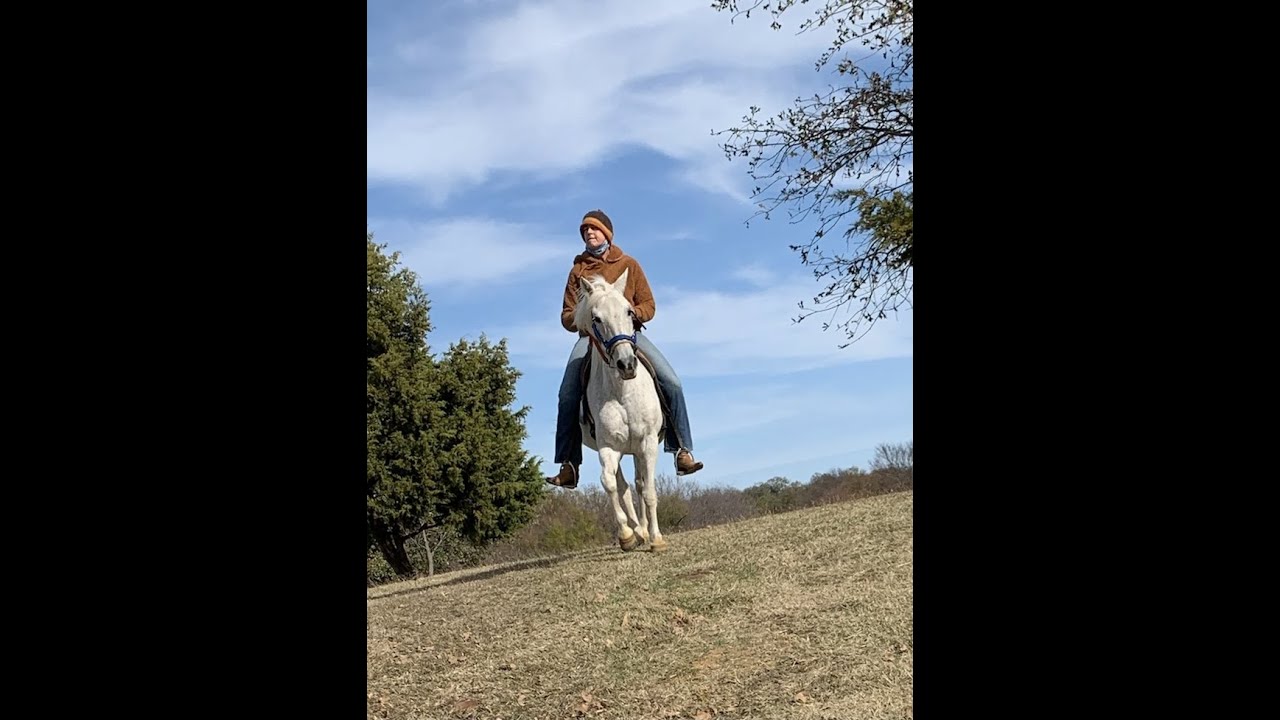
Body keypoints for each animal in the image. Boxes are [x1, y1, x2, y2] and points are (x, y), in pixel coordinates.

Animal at [574, 268, 668, 552]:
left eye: (629, 311)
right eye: (596, 318)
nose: (626, 364)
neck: (622, 392)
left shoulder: (648, 442)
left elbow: (648, 491)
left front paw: (656, 538)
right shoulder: (608, 447)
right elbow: (610, 484)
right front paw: (627, 534)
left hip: (638, 448)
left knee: (639, 484)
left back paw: (646, 531)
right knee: (624, 486)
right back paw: (638, 532)